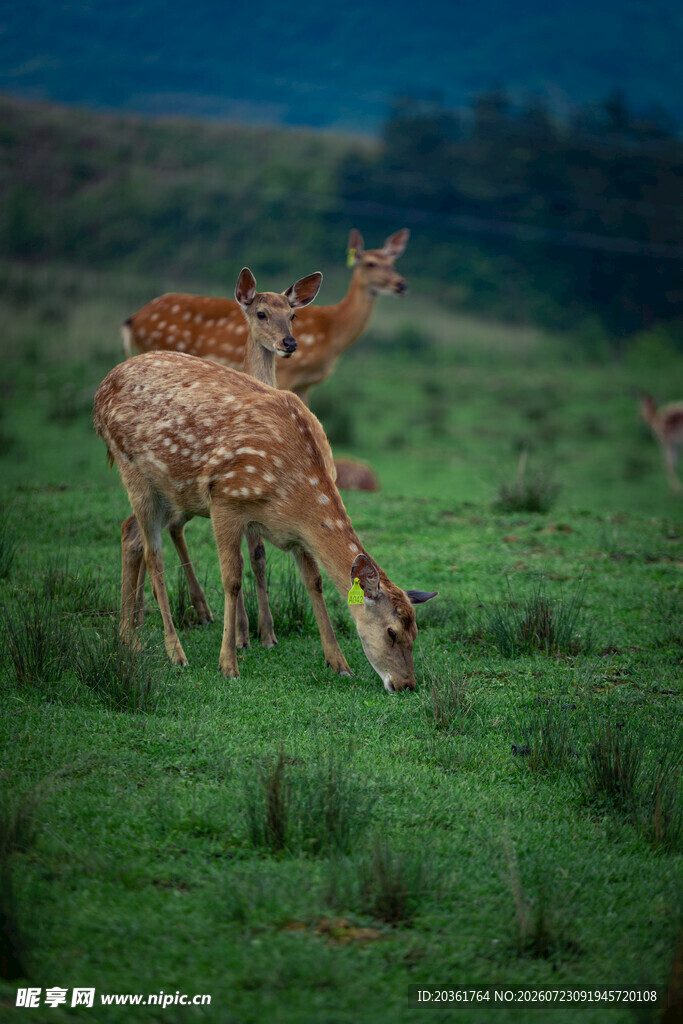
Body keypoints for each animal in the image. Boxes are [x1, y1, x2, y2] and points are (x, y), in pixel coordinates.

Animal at [94, 350, 436, 691]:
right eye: (391, 632)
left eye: (416, 632)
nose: (406, 684)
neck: (293, 496)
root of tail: (100, 392)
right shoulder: (224, 499)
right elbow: (232, 580)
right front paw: (228, 665)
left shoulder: (297, 534)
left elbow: (314, 581)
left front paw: (339, 663)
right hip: (132, 469)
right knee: (154, 555)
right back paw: (175, 652)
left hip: (170, 490)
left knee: (130, 534)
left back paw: (129, 638)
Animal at [121, 228, 410, 407]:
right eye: (371, 263)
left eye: (393, 263)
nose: (401, 284)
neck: (333, 331)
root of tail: (132, 319)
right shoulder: (290, 373)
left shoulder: (307, 383)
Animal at [128, 267, 324, 651]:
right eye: (261, 313)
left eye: (293, 315)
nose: (289, 343)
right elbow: (245, 559)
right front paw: (245, 635)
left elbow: (258, 557)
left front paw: (266, 633)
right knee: (137, 531)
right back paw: (143, 621)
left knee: (156, 530)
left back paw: (182, 614)